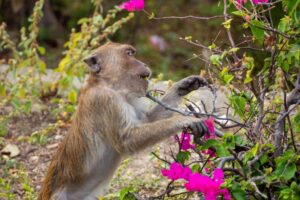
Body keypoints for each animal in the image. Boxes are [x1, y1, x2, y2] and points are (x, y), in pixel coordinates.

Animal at [38, 42, 209, 200]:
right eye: (129, 54)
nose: (144, 64)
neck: (110, 85)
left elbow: (147, 119)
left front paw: (182, 86)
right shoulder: (107, 100)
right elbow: (127, 140)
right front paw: (184, 119)